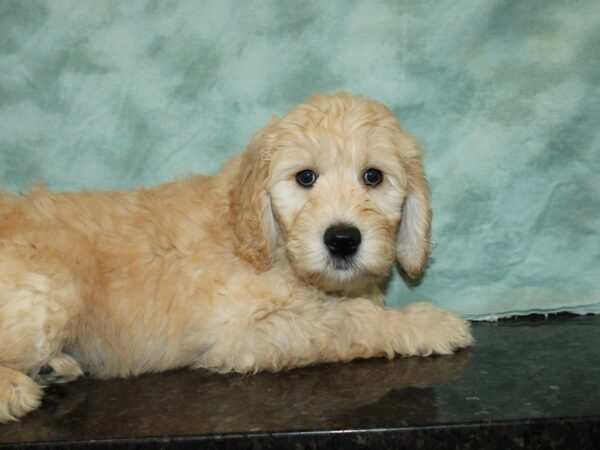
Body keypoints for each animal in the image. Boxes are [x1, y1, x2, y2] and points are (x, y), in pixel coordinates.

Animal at [0, 91, 474, 422]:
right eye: (305, 178)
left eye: (373, 177)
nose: (342, 240)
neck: (269, 243)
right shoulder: (246, 332)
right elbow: (348, 320)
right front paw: (426, 323)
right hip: (54, 293)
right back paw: (14, 389)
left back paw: (52, 366)